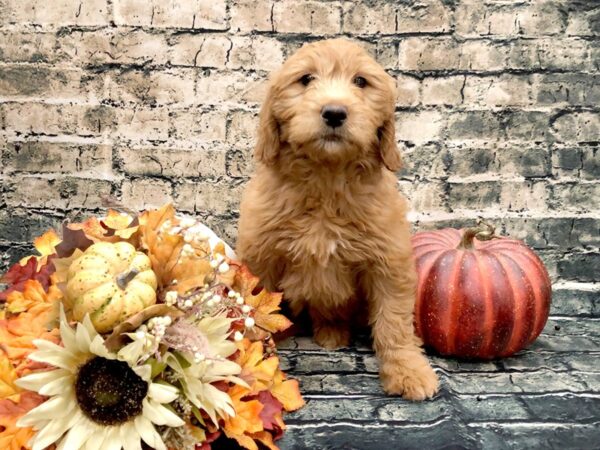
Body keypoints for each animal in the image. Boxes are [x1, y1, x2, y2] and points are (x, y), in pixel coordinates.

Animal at [237, 37, 438, 398]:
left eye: (361, 81)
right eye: (305, 79)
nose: (334, 112)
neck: (326, 179)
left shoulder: (390, 262)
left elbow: (394, 322)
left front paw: (408, 371)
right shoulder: (260, 257)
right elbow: (256, 311)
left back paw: (333, 333)